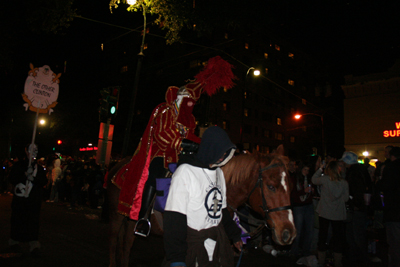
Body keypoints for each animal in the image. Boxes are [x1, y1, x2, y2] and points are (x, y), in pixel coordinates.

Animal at [106, 146, 294, 267]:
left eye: (290, 185)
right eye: (271, 186)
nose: (288, 233)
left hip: (130, 221)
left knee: (126, 245)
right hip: (116, 216)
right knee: (115, 241)